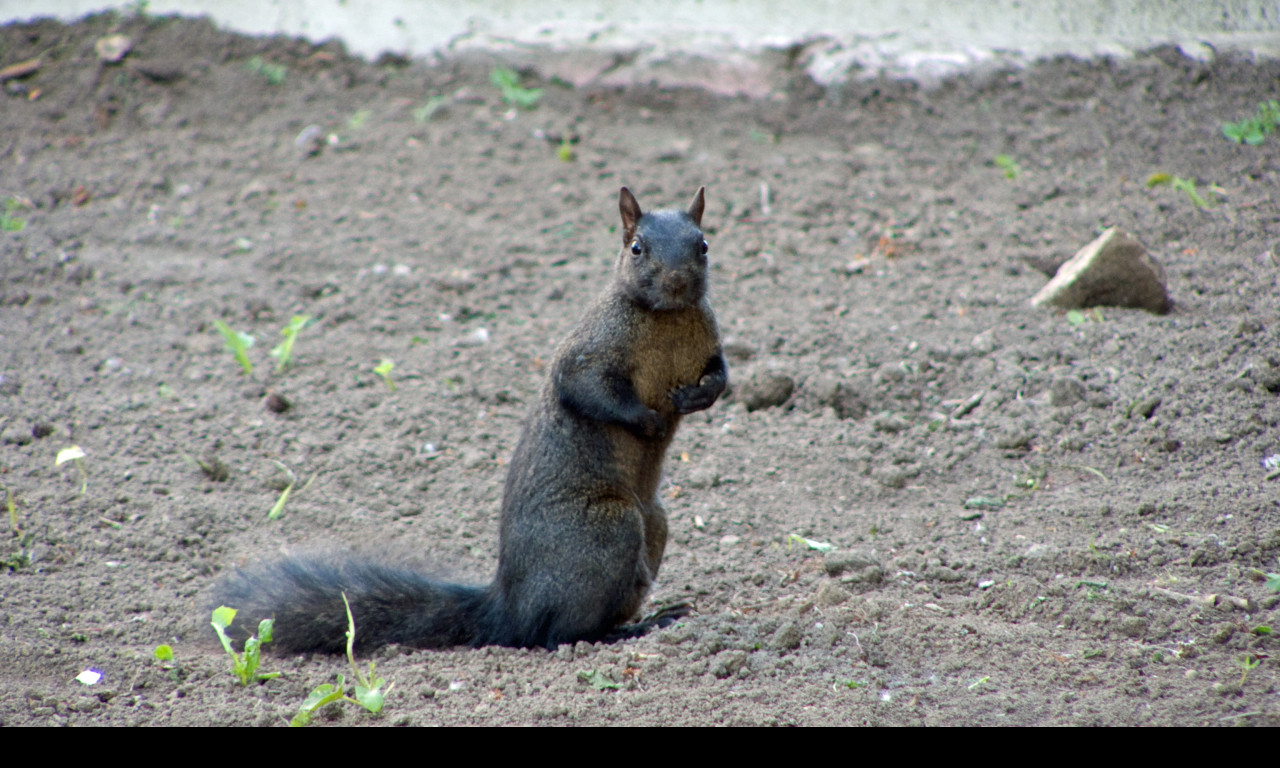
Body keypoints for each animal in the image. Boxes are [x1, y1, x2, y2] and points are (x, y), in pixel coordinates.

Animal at [215, 184, 727, 647]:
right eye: (636, 249)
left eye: (703, 244)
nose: (678, 282)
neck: (666, 317)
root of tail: (508, 610)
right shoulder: (588, 351)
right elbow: (587, 390)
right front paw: (648, 421)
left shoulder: (708, 347)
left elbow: (720, 377)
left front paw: (697, 398)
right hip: (606, 531)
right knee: (559, 634)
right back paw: (631, 629)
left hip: (652, 524)